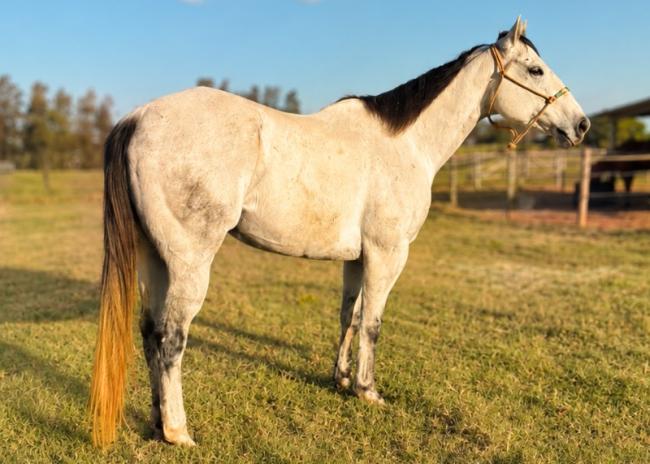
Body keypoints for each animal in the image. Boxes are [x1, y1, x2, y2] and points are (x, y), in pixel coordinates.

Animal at [89, 18, 590, 447]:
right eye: (535, 68)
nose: (581, 124)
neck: (405, 145)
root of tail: (137, 117)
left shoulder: (358, 257)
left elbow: (348, 316)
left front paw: (342, 380)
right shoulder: (388, 254)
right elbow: (373, 322)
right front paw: (368, 390)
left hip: (155, 258)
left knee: (150, 333)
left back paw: (158, 423)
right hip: (190, 263)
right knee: (172, 338)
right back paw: (178, 432)